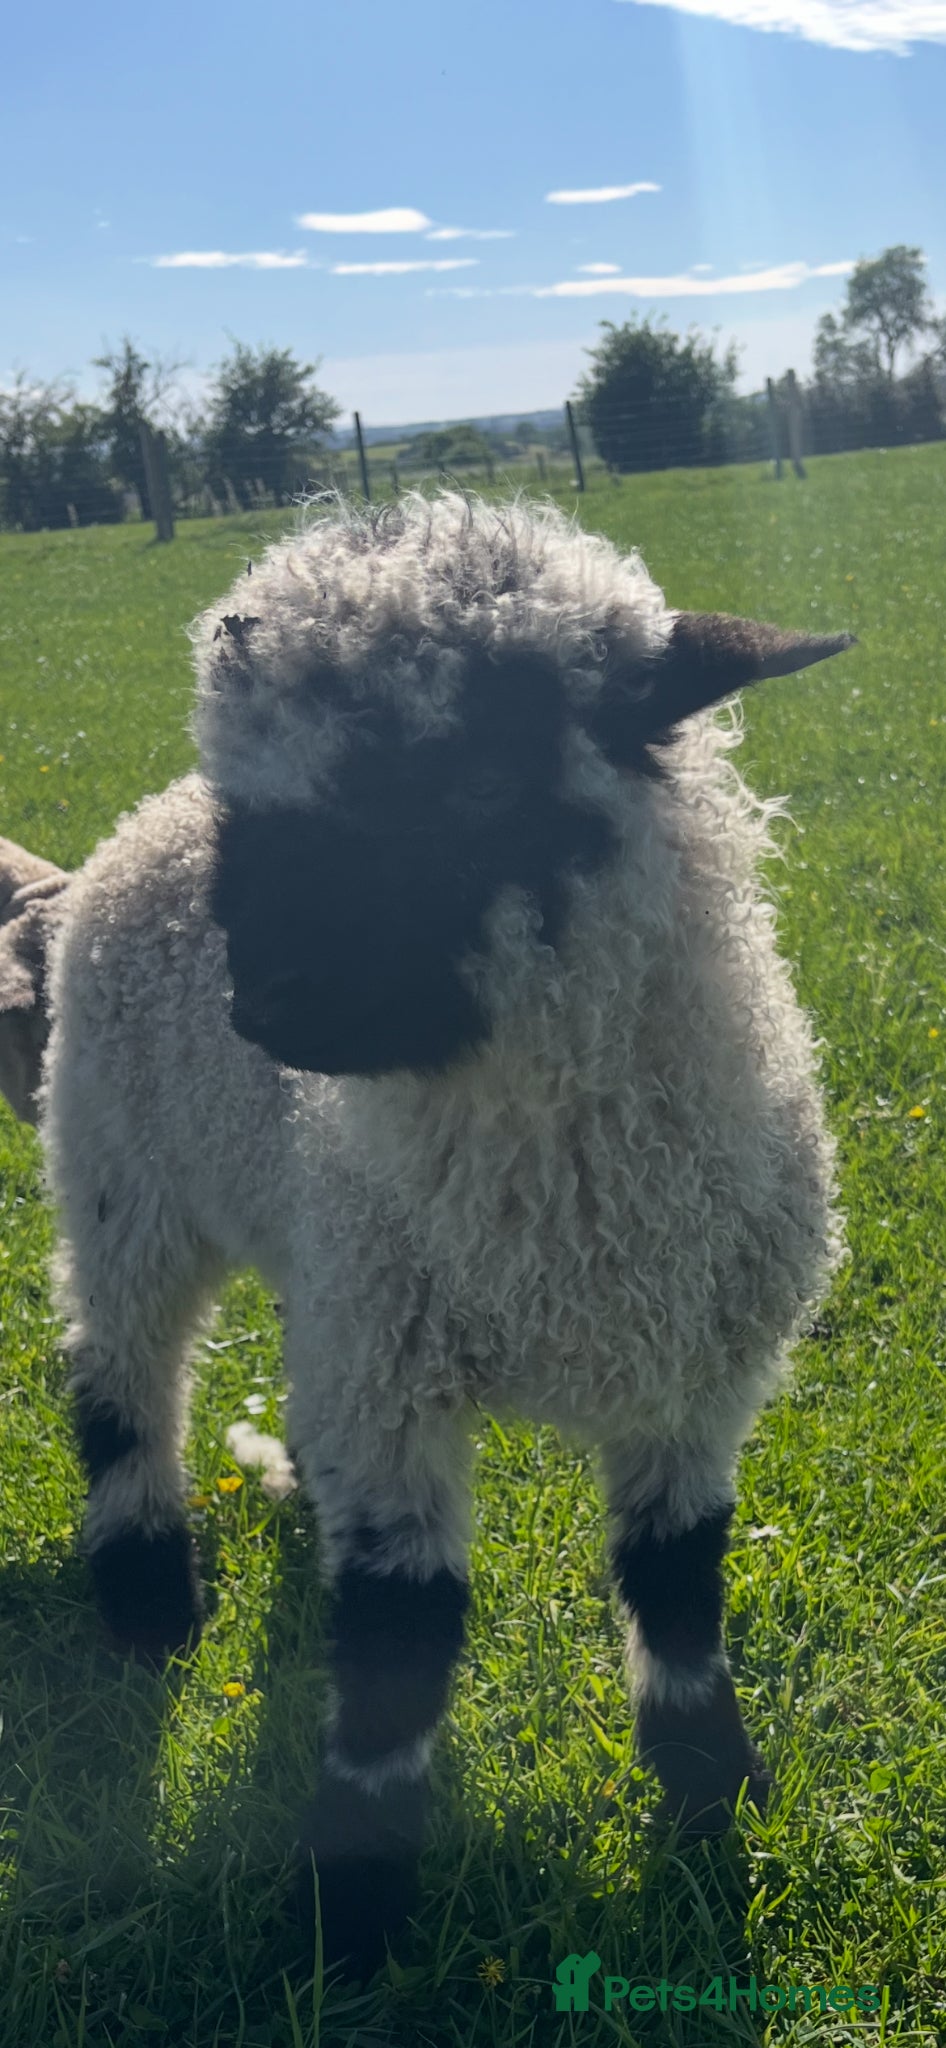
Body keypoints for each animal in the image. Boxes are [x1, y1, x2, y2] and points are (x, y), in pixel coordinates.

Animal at [2, 491, 852, 1977]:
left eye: (475, 780)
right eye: (260, 807)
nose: (268, 1008)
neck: (560, 1206)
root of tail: (134, 829)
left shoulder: (694, 1376)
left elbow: (678, 1581)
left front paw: (708, 1798)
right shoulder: (393, 1389)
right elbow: (402, 1629)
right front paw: (349, 1914)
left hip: (316, 1269)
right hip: (119, 1177)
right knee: (120, 1377)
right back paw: (147, 1592)